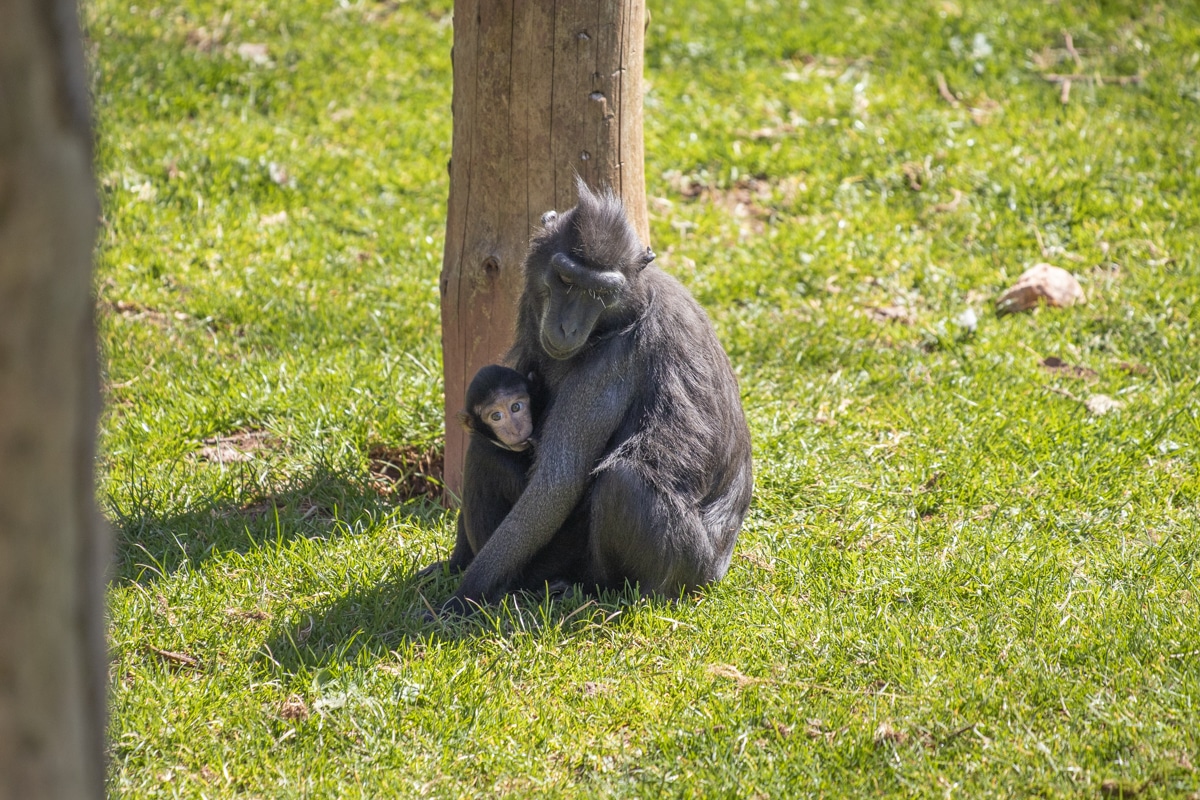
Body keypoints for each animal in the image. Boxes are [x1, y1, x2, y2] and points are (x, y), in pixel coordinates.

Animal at [437, 178, 753, 612]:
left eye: (599, 293)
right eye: (567, 280)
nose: (568, 327)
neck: (629, 305)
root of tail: (718, 570)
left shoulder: (611, 361)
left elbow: (556, 484)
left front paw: (464, 595)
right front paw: (455, 565)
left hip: (685, 567)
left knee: (622, 481)